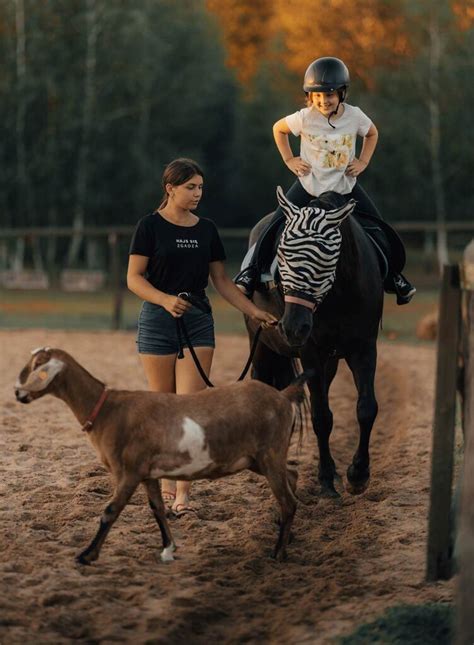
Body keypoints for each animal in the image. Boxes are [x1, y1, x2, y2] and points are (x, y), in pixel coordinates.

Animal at [14, 348, 308, 564]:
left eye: (37, 365)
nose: (18, 393)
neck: (107, 409)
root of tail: (283, 396)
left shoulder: (129, 471)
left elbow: (110, 511)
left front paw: (87, 555)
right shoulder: (148, 473)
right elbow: (157, 509)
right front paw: (168, 549)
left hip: (269, 453)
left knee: (288, 500)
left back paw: (279, 553)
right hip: (257, 459)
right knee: (292, 477)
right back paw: (286, 535)